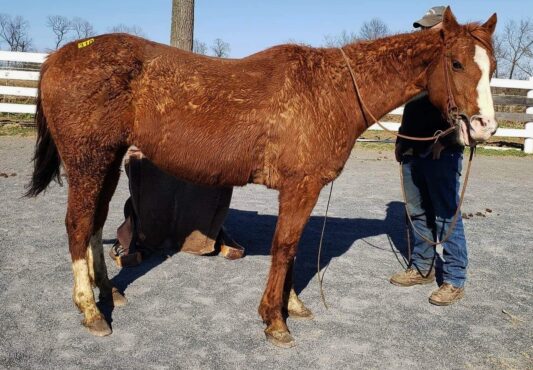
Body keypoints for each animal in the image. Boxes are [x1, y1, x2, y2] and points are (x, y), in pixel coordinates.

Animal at [28, 9, 494, 350]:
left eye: (491, 67)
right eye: (456, 63)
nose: (484, 127)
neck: (330, 91)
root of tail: (56, 58)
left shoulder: (303, 190)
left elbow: (293, 248)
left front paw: (292, 305)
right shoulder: (301, 186)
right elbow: (285, 248)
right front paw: (275, 321)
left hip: (105, 160)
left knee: (94, 223)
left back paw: (109, 293)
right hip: (88, 160)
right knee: (77, 225)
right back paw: (90, 311)